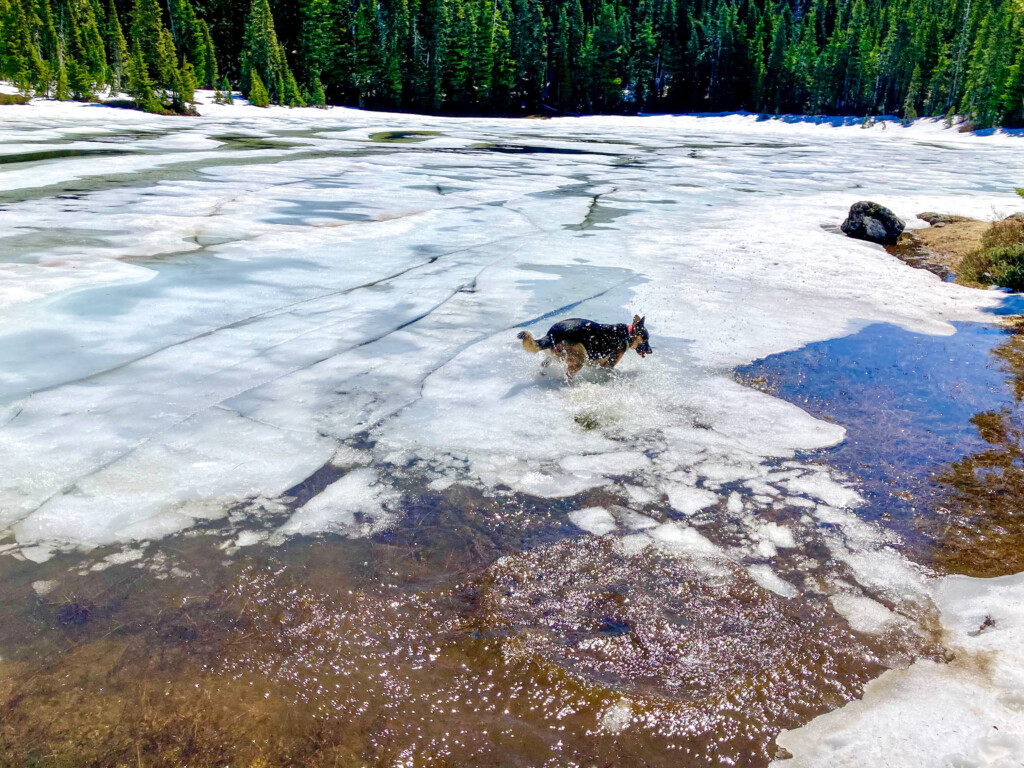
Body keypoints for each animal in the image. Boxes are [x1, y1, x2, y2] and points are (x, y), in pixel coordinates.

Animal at [516, 315, 651, 382]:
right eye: (646, 339)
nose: (651, 351)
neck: (628, 334)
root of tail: (551, 335)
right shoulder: (608, 364)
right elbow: (611, 371)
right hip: (580, 357)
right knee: (568, 374)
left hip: (555, 356)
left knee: (544, 364)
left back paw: (543, 373)